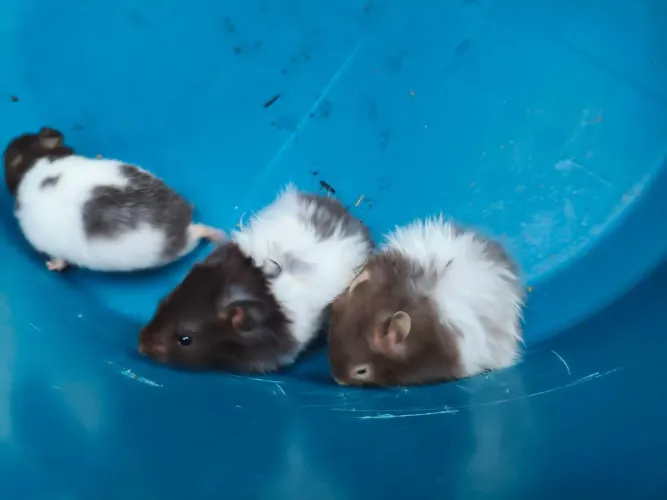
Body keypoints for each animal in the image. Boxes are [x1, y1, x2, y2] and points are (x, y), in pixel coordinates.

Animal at [3, 127, 222, 272]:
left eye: (7, 155)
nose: (8, 144)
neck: (34, 160)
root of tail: (185, 224)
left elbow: (60, 261)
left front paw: (50, 265)